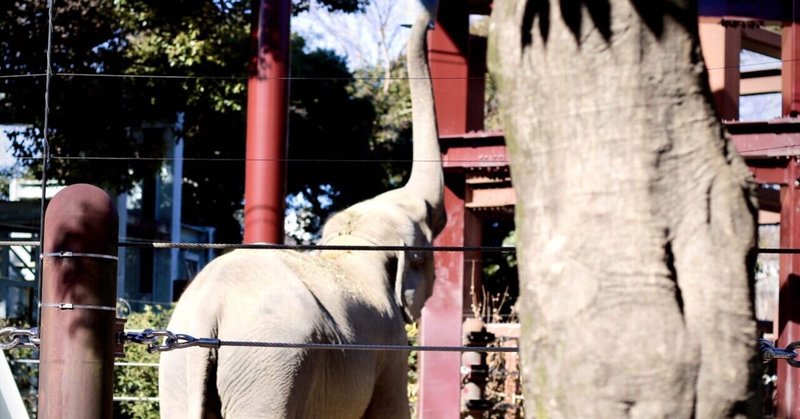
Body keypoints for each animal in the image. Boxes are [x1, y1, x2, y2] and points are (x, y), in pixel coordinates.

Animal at [156, 6, 444, 419]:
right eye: (429, 225)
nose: (427, 16)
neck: (353, 243)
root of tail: (209, 309)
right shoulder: (388, 343)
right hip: (271, 367)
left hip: (180, 367)